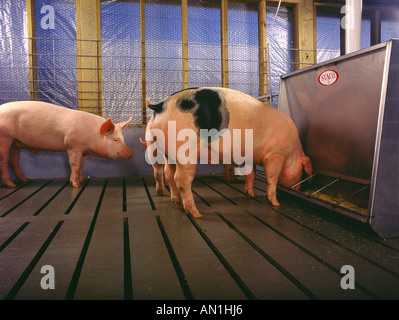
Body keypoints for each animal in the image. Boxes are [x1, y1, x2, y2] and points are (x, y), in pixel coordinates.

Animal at [0, 100, 134, 188]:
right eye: (115, 140)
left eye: (123, 138)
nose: (131, 153)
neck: (92, 134)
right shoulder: (73, 146)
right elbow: (74, 165)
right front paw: (76, 185)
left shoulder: (84, 152)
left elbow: (81, 166)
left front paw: (82, 181)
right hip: (5, 137)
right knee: (5, 161)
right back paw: (11, 185)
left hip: (14, 142)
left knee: (14, 161)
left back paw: (26, 180)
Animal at [145, 87, 314, 218]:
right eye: (302, 172)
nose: (299, 189)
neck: (293, 153)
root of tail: (159, 106)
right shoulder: (275, 155)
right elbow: (272, 178)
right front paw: (276, 203)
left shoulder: (250, 156)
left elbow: (251, 174)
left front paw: (250, 194)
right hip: (185, 151)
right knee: (180, 179)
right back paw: (196, 213)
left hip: (167, 152)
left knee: (168, 174)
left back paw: (177, 203)